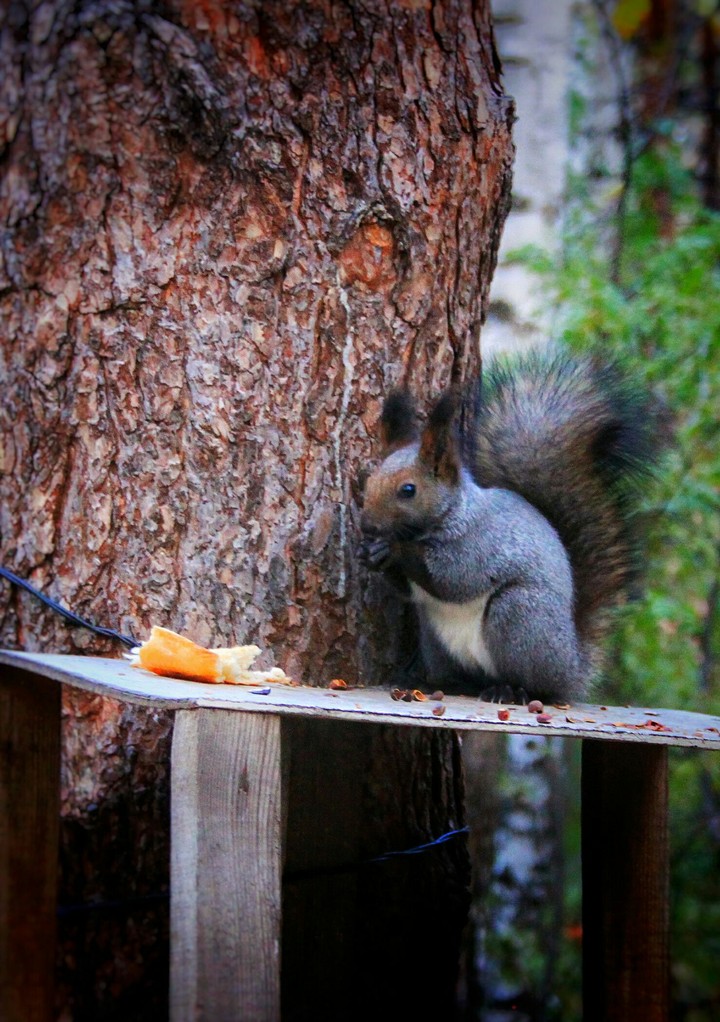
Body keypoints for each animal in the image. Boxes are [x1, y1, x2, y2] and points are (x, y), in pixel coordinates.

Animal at [359, 350, 665, 704]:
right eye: (369, 480)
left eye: (408, 490)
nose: (367, 526)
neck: (454, 515)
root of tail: (573, 668)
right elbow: (409, 591)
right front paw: (373, 554)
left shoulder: (479, 546)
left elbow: (453, 581)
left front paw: (394, 548)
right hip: (436, 640)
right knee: (463, 675)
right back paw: (445, 684)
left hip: (520, 617)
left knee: (538, 684)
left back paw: (512, 689)